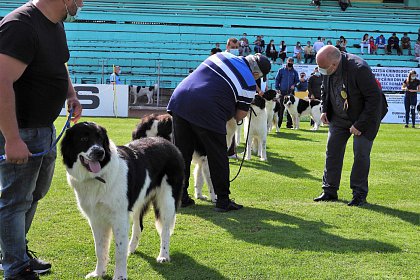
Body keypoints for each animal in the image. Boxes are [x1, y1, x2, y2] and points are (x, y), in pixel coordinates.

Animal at [61, 122, 184, 280]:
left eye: (100, 139)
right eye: (83, 139)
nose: (100, 152)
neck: (98, 177)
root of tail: (166, 142)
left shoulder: (119, 218)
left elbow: (118, 251)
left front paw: (119, 276)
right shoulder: (96, 219)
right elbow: (99, 249)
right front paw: (98, 273)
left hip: (167, 202)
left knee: (165, 231)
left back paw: (163, 256)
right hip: (138, 202)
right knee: (138, 227)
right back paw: (130, 249)